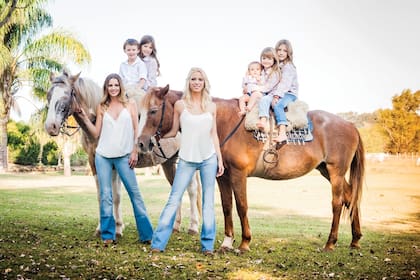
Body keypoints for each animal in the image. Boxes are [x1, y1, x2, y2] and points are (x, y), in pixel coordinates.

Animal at [43, 71, 201, 237]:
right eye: (49, 95)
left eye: (67, 94)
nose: (50, 126)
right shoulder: (93, 161)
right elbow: (101, 194)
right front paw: (101, 227)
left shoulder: (116, 161)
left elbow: (116, 196)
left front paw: (118, 228)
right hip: (168, 162)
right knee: (176, 188)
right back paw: (175, 226)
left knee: (192, 189)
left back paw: (193, 226)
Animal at [138, 85, 364, 252]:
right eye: (139, 113)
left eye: (153, 111)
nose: (141, 143)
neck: (222, 122)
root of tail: (350, 125)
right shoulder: (223, 176)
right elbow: (227, 206)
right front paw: (227, 242)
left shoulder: (238, 175)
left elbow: (241, 206)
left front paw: (245, 242)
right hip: (326, 170)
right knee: (350, 196)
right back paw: (355, 239)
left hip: (335, 171)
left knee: (337, 203)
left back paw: (330, 243)